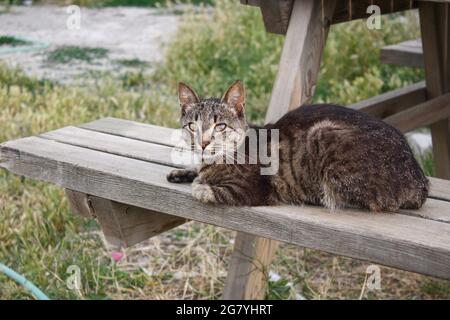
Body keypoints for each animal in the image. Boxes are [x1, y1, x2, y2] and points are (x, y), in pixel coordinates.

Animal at [167, 80, 428, 211]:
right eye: (193, 126)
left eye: (220, 126)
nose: (203, 143)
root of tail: (420, 182)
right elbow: (196, 170)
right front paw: (183, 171)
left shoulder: (250, 189)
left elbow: (211, 189)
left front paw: (200, 183)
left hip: (323, 134)